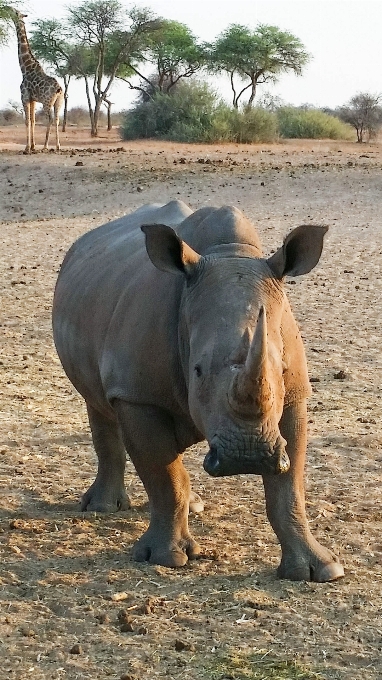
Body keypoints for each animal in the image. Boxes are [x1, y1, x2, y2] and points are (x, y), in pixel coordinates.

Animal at [8, 8, 63, 153]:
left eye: (15, 12)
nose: (7, 8)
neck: (25, 68)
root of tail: (59, 89)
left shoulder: (25, 97)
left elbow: (27, 121)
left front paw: (27, 148)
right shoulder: (32, 99)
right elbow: (32, 121)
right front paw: (32, 146)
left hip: (46, 102)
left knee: (50, 118)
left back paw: (45, 146)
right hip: (59, 102)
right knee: (57, 119)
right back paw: (57, 146)